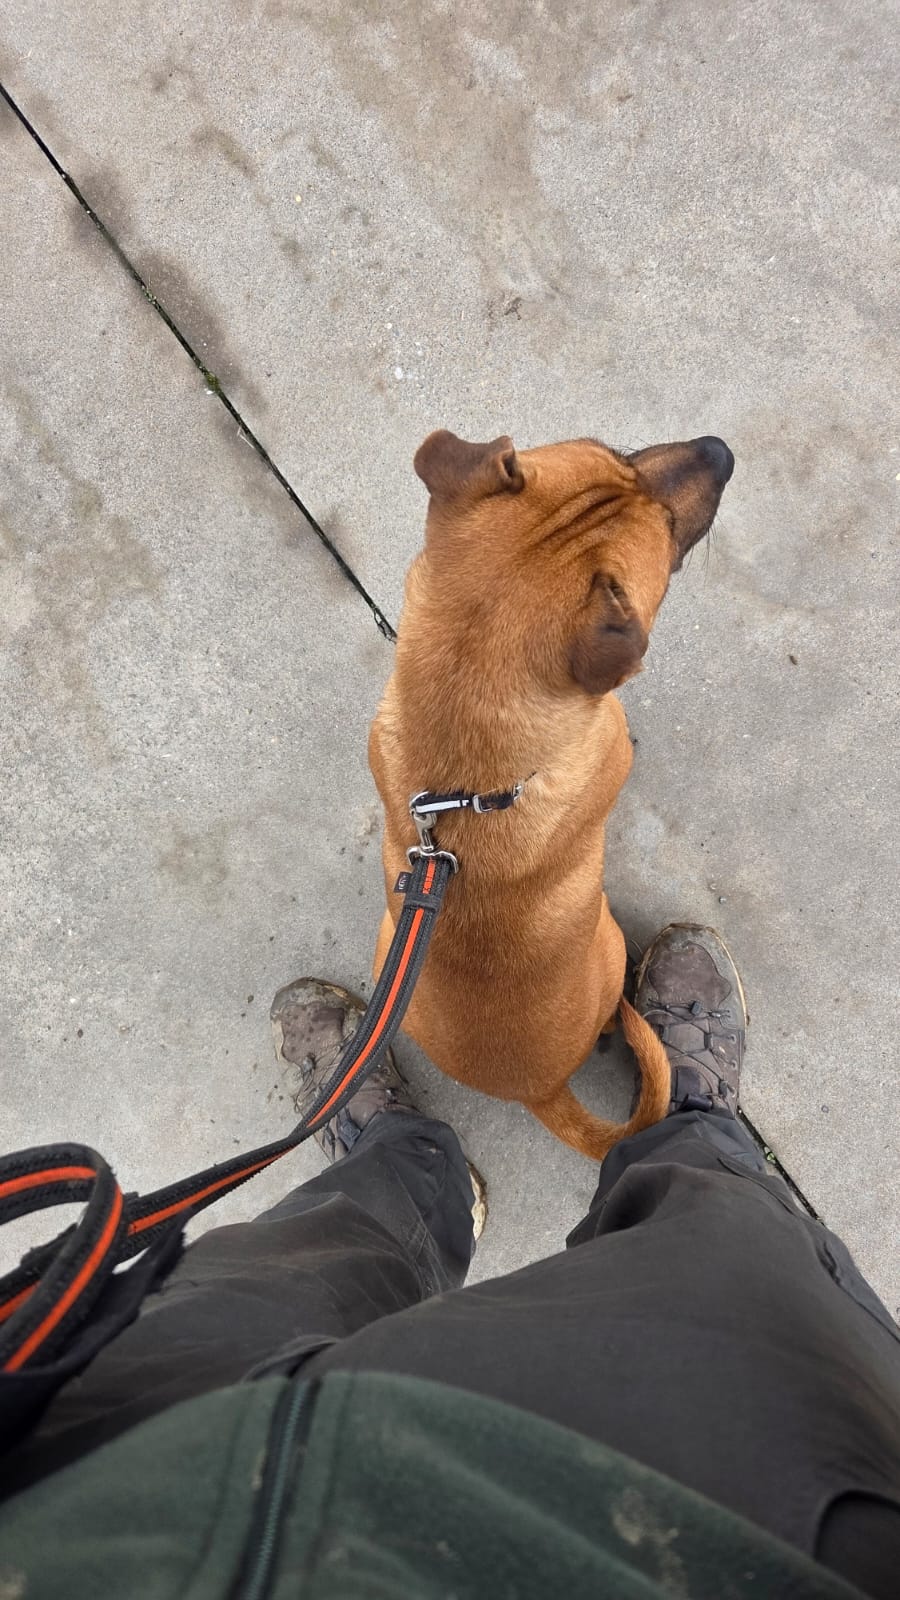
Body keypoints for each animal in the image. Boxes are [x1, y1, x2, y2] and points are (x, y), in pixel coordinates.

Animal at [369, 430, 734, 1159]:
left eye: (617, 452)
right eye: (669, 532)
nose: (721, 450)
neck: (465, 775)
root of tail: (537, 1092)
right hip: (611, 943)